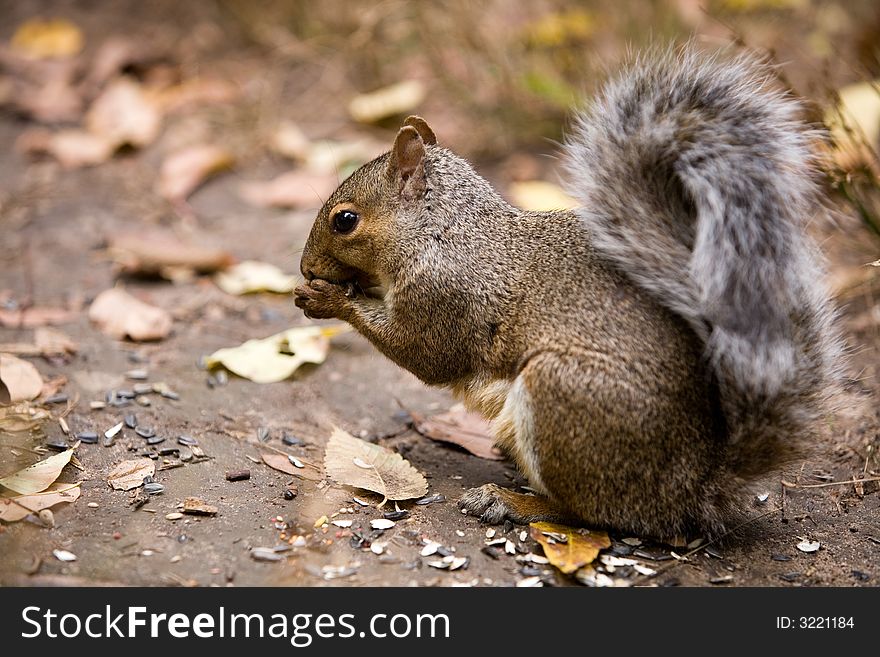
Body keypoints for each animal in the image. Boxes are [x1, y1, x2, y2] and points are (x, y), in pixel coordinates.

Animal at [294, 44, 840, 540]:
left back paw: (511, 501)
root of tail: (692, 490)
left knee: (595, 513)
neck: (444, 231)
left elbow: (426, 355)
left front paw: (328, 299)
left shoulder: (445, 296)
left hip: (563, 398)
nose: (304, 266)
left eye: (345, 220)